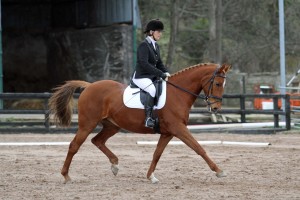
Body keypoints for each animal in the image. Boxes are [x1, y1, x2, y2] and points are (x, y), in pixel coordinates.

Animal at [49, 63, 232, 184]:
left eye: (224, 84)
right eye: (217, 83)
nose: (216, 108)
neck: (178, 93)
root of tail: (89, 86)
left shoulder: (168, 133)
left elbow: (157, 154)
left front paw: (151, 176)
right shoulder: (179, 129)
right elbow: (198, 148)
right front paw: (219, 171)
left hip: (112, 126)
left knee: (97, 140)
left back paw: (115, 165)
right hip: (87, 124)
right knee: (74, 146)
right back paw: (66, 176)